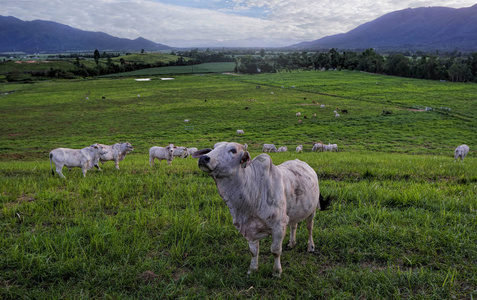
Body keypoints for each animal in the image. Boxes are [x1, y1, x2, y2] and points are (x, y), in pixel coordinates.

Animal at [192, 142, 330, 276]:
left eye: (233, 150)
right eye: (213, 148)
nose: (204, 158)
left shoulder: (279, 227)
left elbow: (275, 251)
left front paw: (276, 272)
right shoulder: (249, 228)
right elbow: (253, 251)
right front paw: (253, 269)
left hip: (312, 211)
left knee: (309, 228)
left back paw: (310, 246)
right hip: (293, 212)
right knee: (293, 225)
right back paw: (291, 243)